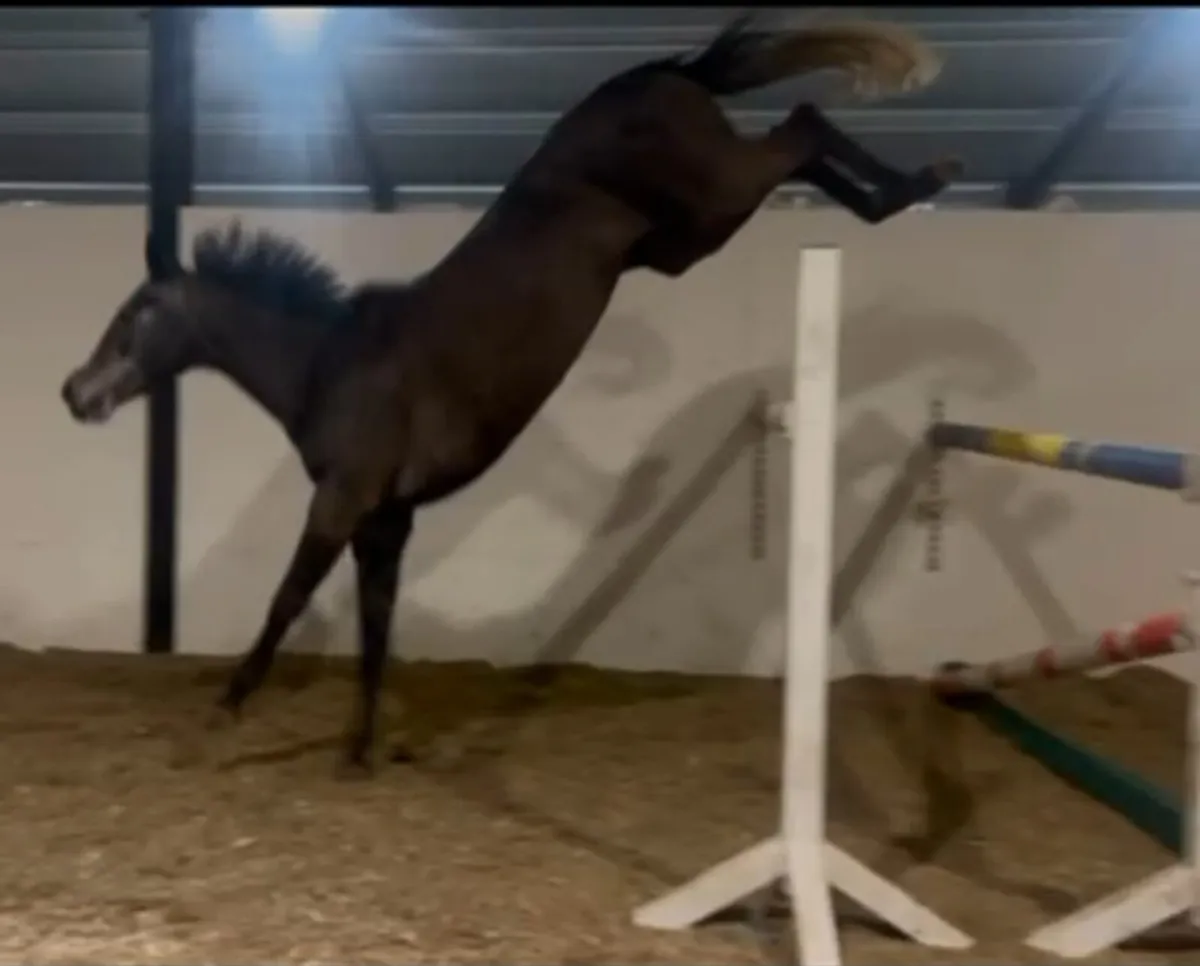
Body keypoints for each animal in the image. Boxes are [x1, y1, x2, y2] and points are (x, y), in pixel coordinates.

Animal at [60, 15, 957, 776]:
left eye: (136, 314)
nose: (74, 392)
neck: (331, 364)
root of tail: (654, 73)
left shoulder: (343, 502)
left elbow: (288, 599)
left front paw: (221, 716)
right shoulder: (386, 519)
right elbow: (375, 625)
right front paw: (356, 752)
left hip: (715, 199)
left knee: (801, 125)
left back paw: (920, 181)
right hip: (683, 240)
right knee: (800, 142)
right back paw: (903, 191)